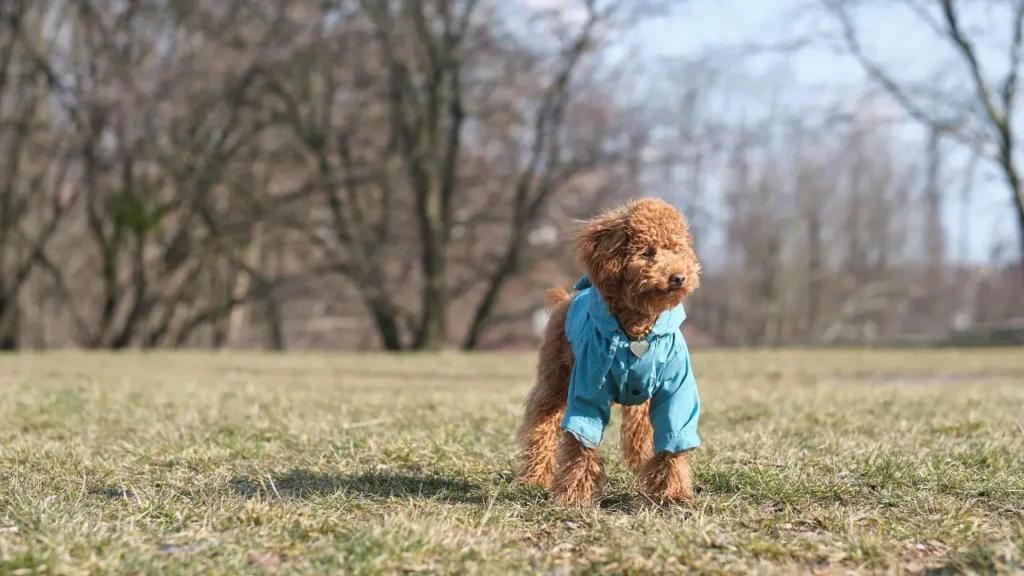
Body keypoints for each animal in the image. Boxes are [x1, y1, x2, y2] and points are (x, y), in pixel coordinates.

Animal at [516, 196, 700, 502]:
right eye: (648, 252)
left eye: (677, 250)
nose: (678, 277)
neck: (637, 333)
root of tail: (566, 299)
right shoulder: (588, 388)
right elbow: (581, 441)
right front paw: (574, 494)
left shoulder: (675, 388)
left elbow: (673, 435)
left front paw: (673, 491)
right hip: (554, 380)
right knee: (541, 426)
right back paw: (534, 476)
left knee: (639, 427)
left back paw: (639, 461)